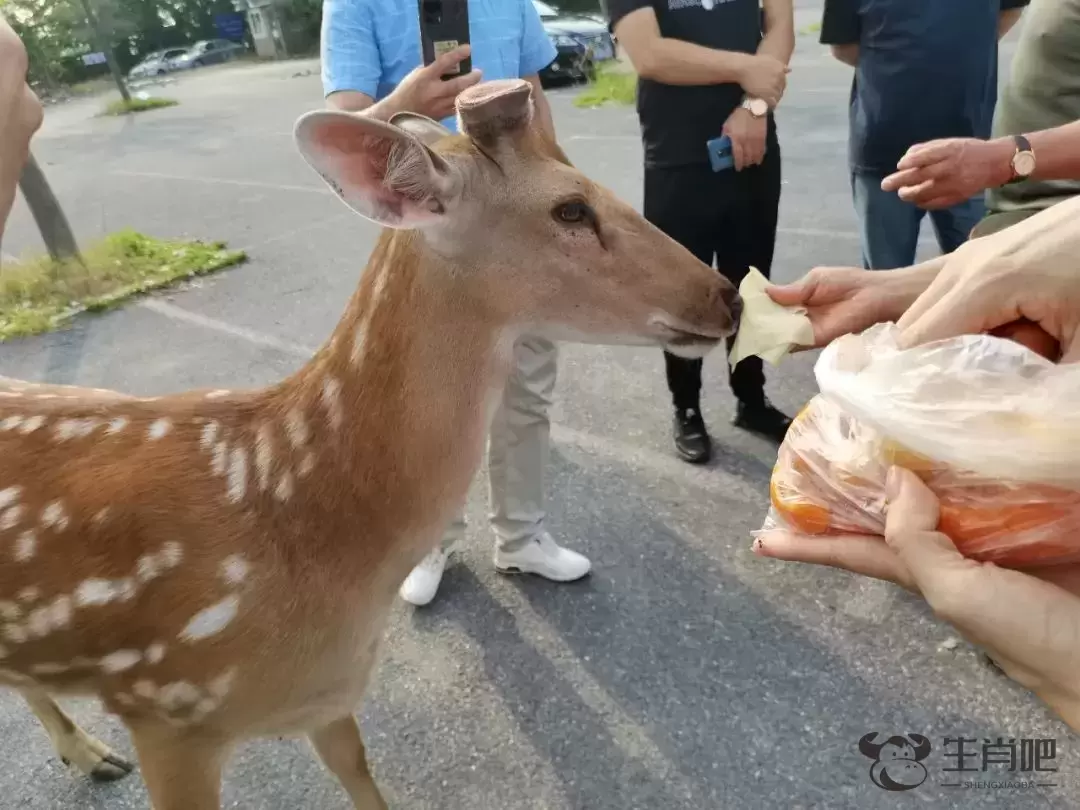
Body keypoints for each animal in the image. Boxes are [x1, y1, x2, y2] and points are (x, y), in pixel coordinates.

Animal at [0, 77, 738, 810]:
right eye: (572, 209)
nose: (726, 295)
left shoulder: (330, 692)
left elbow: (360, 774)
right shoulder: (165, 708)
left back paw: (91, 755)